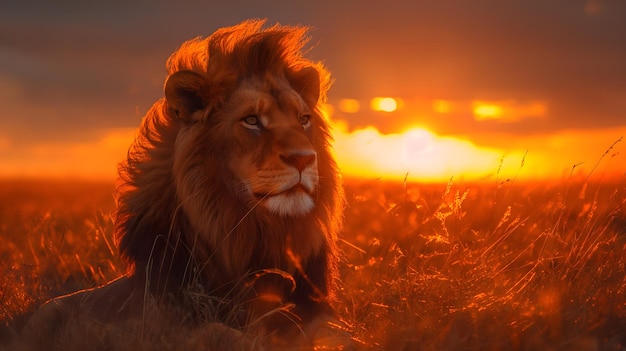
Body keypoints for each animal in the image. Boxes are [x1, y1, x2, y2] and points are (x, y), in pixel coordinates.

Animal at [19, 20, 348, 350]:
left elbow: (331, 331)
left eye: (303, 119)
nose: (303, 159)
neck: (253, 231)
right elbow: (220, 333)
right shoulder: (158, 326)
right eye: (252, 120)